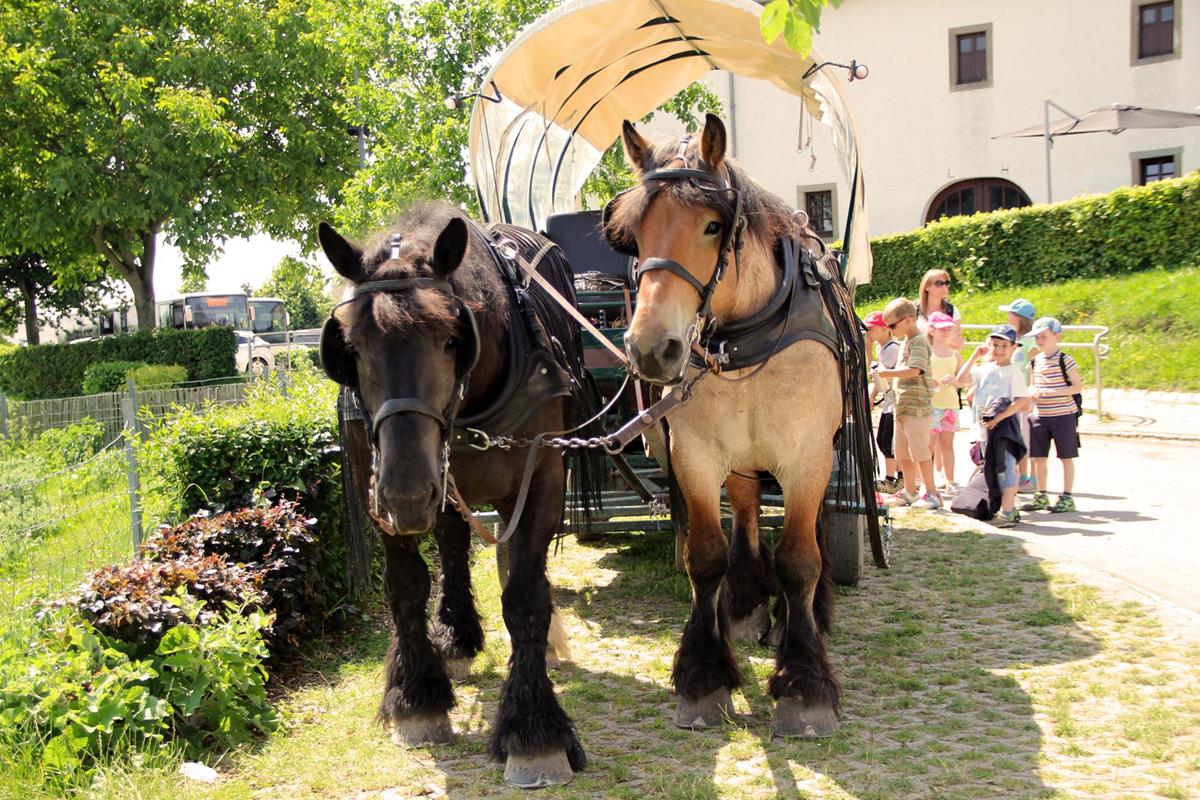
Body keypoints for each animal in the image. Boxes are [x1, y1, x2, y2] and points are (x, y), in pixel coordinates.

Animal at [319, 205, 604, 786]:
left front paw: (534, 732)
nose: (406, 494)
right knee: (452, 542)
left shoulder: (544, 476)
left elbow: (523, 595)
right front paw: (416, 697)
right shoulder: (375, 484)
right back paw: (454, 636)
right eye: (350, 348)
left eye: (453, 338)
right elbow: (406, 585)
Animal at [600, 112, 873, 738]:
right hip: (742, 462)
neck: (746, 338)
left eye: (712, 225)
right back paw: (748, 606)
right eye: (634, 233)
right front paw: (704, 676)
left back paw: (805, 615)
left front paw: (805, 684)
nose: (651, 348)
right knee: (747, 514)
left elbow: (799, 559)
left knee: (812, 531)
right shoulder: (696, 456)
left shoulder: (807, 457)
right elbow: (706, 557)